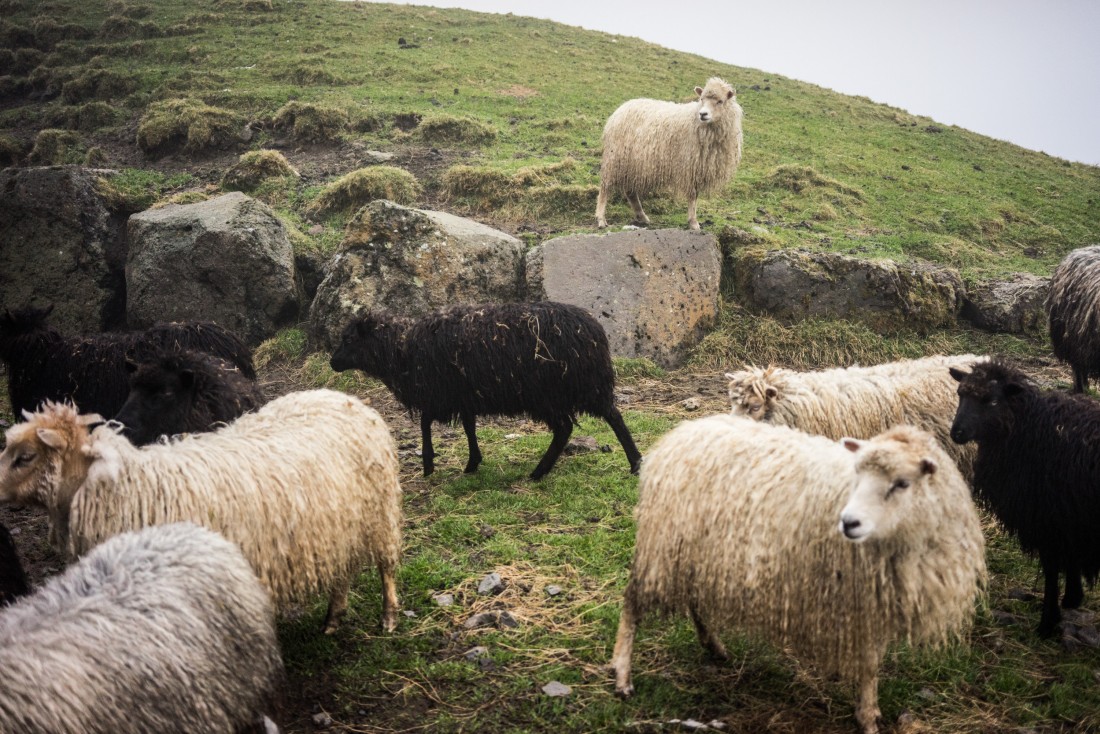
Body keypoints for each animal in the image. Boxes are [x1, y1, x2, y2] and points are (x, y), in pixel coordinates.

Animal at [0, 390, 403, 634]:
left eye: (25, 457)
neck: (126, 488)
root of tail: (343, 397)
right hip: (340, 522)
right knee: (343, 569)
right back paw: (333, 617)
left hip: (379, 513)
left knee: (385, 566)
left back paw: (388, 617)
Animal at [330, 301, 642, 480]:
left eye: (349, 339)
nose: (332, 363)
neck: (401, 349)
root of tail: (595, 332)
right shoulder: (463, 395)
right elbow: (468, 427)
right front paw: (472, 462)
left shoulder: (439, 393)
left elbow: (425, 423)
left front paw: (429, 463)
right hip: (582, 387)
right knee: (605, 417)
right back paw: (633, 462)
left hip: (553, 392)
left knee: (575, 426)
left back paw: (540, 472)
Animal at [595, 77, 743, 230]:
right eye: (701, 99)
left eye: (720, 101)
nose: (703, 114)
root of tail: (620, 109)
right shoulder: (690, 165)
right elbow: (693, 196)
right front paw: (693, 222)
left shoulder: (698, 167)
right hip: (615, 158)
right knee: (605, 188)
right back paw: (601, 218)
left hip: (632, 164)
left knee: (630, 192)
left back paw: (642, 216)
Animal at [610, 417, 984, 734]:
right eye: (858, 476)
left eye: (902, 483)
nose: (848, 522)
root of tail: (679, 434)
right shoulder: (861, 601)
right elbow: (868, 665)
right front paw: (867, 717)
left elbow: (872, 662)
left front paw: (869, 710)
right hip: (663, 543)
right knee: (632, 604)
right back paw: (623, 676)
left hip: (696, 552)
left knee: (695, 600)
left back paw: (714, 646)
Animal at [949, 358, 1100, 636]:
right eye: (960, 394)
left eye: (992, 401)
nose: (957, 433)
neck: (1027, 426)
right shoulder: (1069, 520)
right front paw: (1072, 599)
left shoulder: (1046, 518)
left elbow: (1051, 570)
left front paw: (1047, 623)